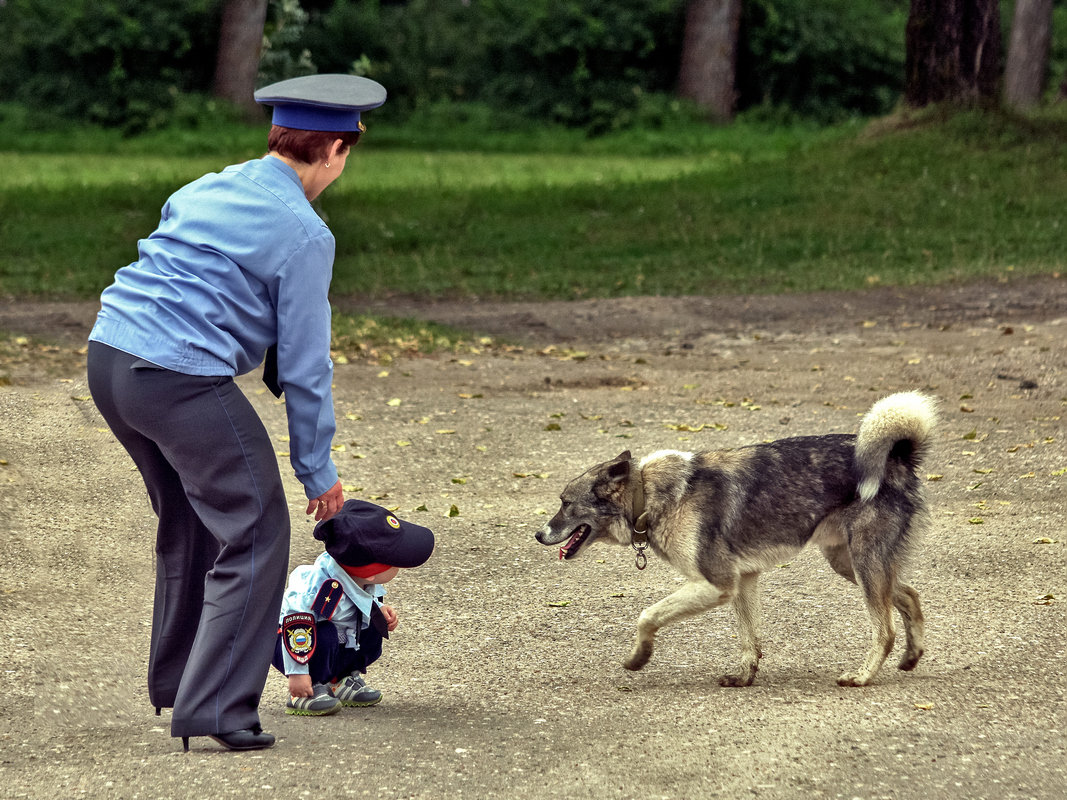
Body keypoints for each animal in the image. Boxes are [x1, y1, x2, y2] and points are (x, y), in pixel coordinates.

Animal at [533, 392, 934, 686]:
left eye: (565, 503)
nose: (538, 534)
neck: (646, 494)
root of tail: (898, 457)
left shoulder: (718, 584)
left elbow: (647, 615)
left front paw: (638, 658)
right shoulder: (743, 581)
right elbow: (748, 638)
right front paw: (745, 675)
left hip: (864, 564)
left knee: (885, 629)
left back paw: (863, 676)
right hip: (850, 563)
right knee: (909, 595)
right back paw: (911, 656)